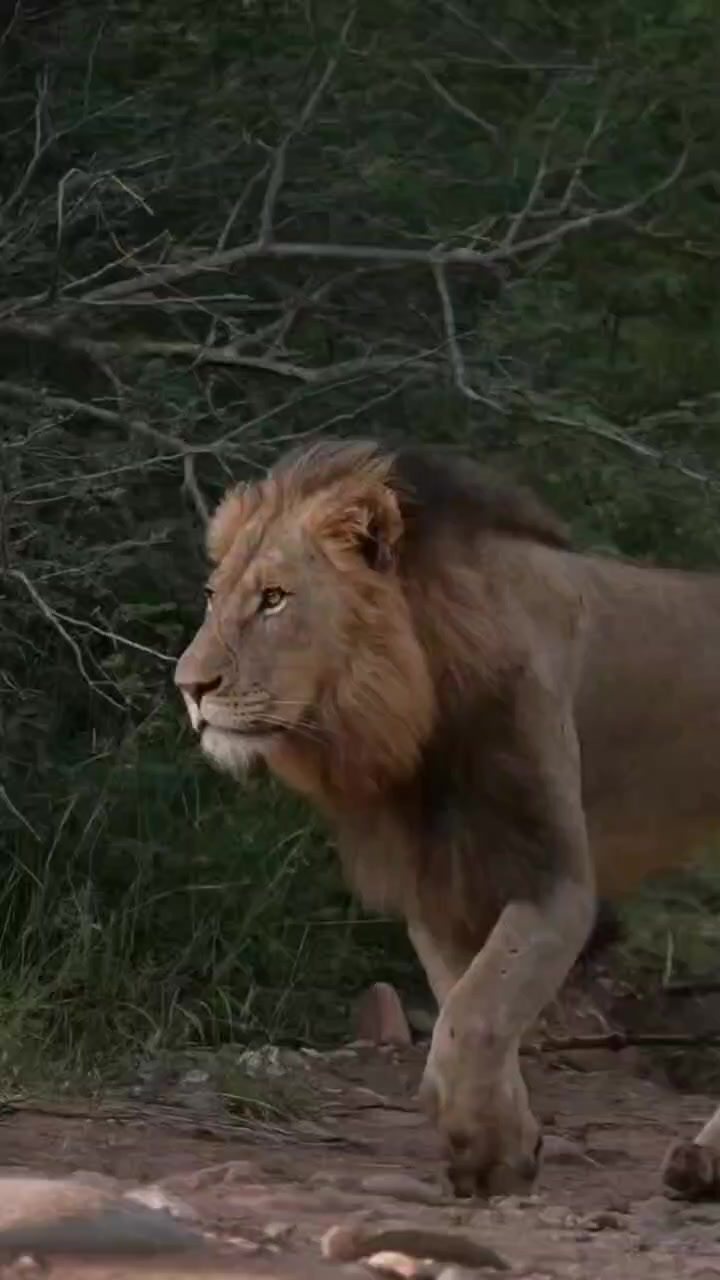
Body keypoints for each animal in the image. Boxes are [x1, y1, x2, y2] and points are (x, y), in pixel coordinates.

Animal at [174, 437, 720, 1201]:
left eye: (275, 599)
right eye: (213, 596)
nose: (189, 687)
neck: (416, 716)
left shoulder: (553, 876)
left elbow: (474, 1013)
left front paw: (475, 1138)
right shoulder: (440, 880)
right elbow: (470, 1001)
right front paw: (503, 1147)